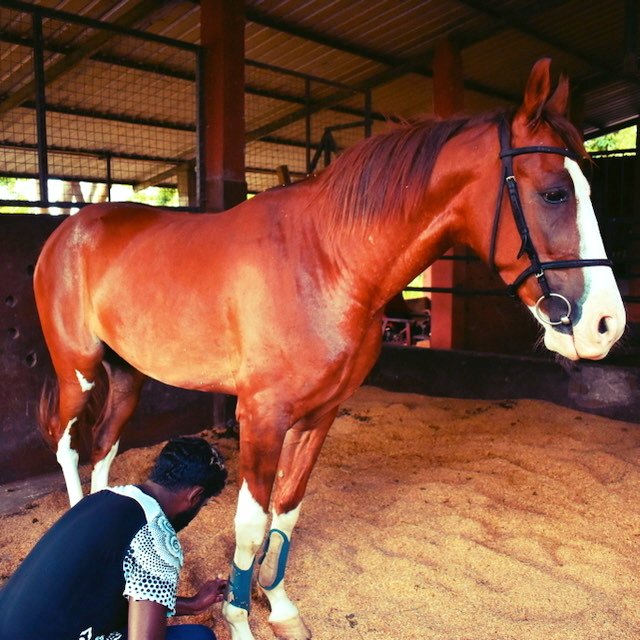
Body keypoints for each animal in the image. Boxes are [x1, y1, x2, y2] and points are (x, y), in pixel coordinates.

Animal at [33, 58, 625, 640]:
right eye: (554, 192)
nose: (607, 325)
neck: (324, 261)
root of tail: (69, 231)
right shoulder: (262, 417)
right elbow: (250, 527)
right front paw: (239, 621)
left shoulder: (319, 415)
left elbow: (286, 515)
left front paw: (280, 609)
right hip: (77, 371)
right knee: (68, 446)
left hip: (127, 375)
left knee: (105, 447)